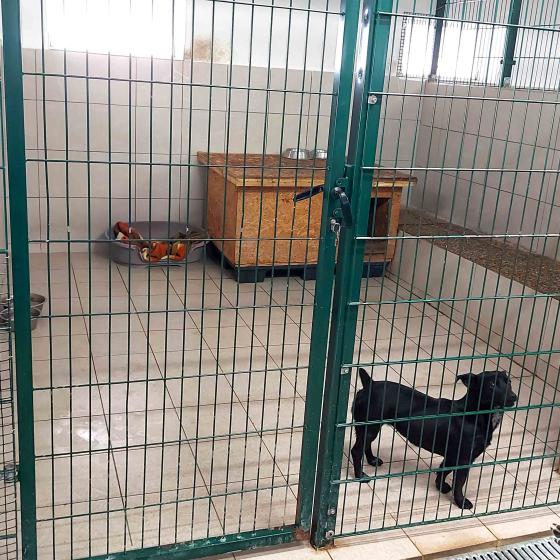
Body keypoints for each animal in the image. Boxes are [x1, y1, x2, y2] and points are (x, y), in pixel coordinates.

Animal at [351, 368, 517, 510]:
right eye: (491, 385)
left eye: (508, 381)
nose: (514, 397)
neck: (473, 414)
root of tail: (370, 384)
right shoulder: (463, 459)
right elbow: (459, 483)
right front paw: (461, 502)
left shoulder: (452, 456)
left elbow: (443, 470)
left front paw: (440, 487)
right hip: (369, 428)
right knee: (356, 451)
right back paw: (360, 476)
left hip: (371, 428)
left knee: (365, 446)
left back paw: (372, 460)